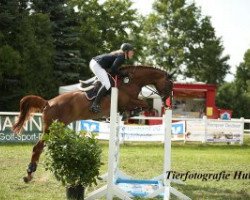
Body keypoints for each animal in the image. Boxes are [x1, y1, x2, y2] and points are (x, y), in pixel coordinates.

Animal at [12, 65, 173, 182]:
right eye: (170, 84)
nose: (167, 102)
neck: (131, 81)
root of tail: (48, 103)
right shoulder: (127, 101)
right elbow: (144, 103)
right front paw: (134, 112)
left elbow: (143, 104)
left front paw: (128, 114)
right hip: (50, 128)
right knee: (37, 147)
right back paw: (29, 174)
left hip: (58, 127)